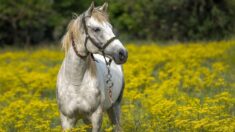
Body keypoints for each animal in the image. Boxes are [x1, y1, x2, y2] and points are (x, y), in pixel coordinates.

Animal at [56, 2, 127, 132]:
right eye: (96, 29)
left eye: (110, 27)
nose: (122, 53)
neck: (76, 82)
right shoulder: (67, 120)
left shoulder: (96, 117)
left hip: (115, 107)